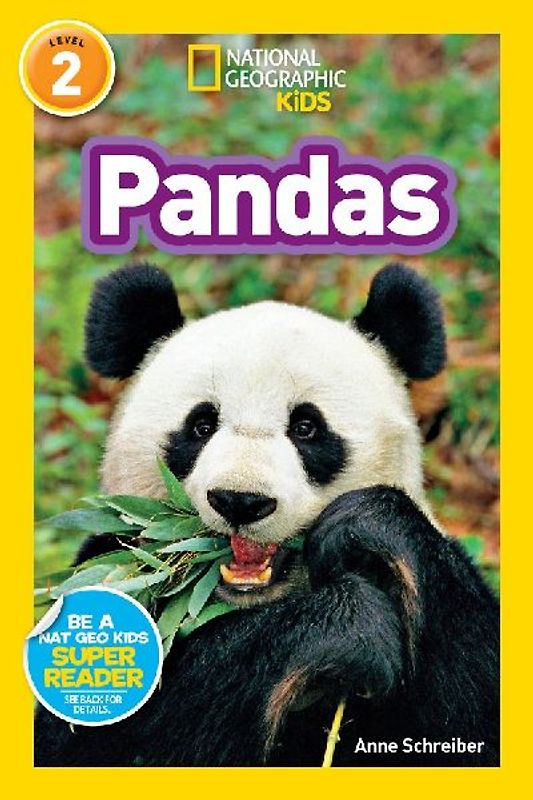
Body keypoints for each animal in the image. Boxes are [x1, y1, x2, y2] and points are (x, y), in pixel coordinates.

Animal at [35, 262, 499, 767]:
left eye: (307, 428)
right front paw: (348, 624)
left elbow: (471, 708)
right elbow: (105, 732)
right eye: (201, 425)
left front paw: (367, 526)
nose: (240, 500)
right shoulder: (112, 569)